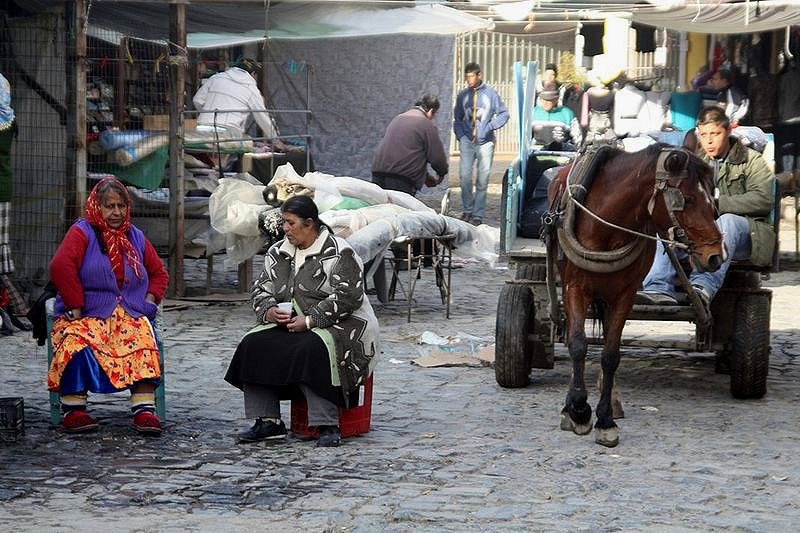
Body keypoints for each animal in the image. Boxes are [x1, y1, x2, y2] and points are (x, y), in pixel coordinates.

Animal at [544, 143, 724, 446]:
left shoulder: (624, 295)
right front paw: (578, 411)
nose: (715, 256)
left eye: (712, 198)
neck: (605, 226)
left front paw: (605, 419)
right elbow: (578, 344)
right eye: (687, 199)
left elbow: (611, 354)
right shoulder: (575, 287)